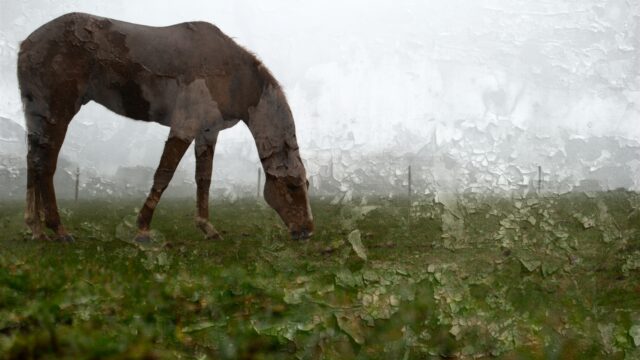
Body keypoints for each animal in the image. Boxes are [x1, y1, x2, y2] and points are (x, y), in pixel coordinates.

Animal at [16, 11, 312, 242]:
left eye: (306, 184)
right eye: (292, 186)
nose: (307, 231)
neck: (232, 74)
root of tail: (27, 44)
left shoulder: (207, 133)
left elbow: (204, 179)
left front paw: (207, 227)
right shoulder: (184, 127)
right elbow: (164, 174)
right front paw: (143, 228)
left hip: (38, 119)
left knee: (33, 162)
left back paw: (36, 229)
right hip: (57, 114)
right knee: (46, 165)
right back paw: (58, 230)